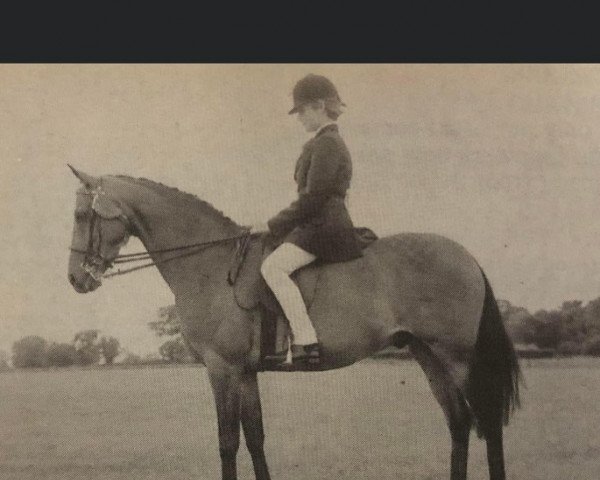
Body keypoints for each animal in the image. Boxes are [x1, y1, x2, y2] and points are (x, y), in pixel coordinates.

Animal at [67, 166, 520, 480]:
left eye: (81, 214)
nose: (76, 279)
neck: (210, 264)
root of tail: (466, 256)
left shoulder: (222, 369)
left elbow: (227, 441)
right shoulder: (246, 372)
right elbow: (255, 437)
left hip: (457, 357)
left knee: (487, 422)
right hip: (427, 355)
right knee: (459, 423)